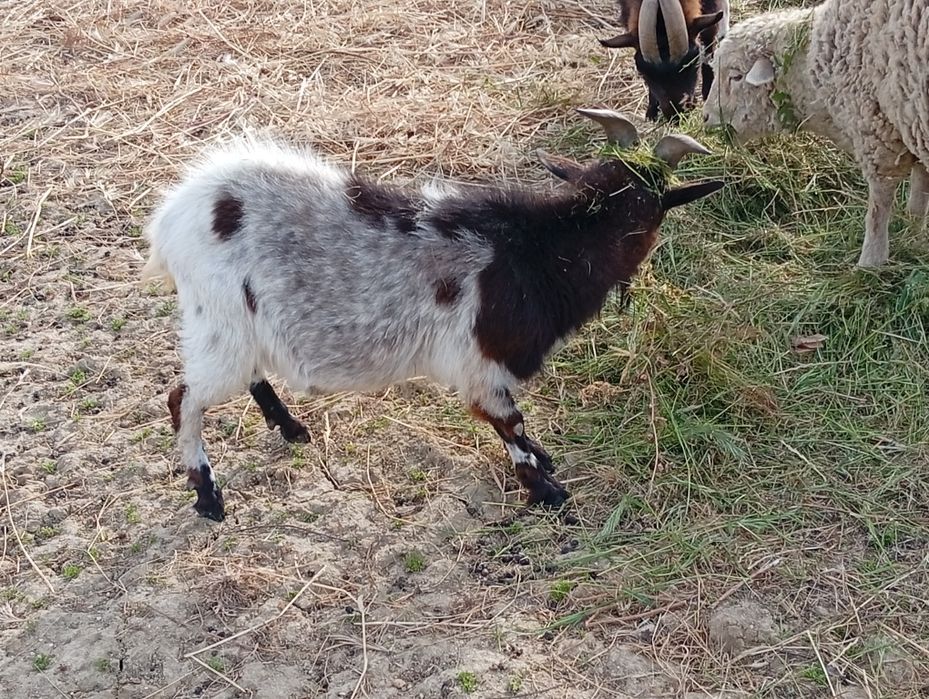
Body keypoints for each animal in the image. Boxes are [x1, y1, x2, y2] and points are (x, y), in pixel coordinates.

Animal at [142, 109, 724, 521]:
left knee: (244, 374)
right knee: (183, 397)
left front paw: (544, 468)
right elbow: (507, 422)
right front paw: (546, 491)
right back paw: (208, 497)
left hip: (238, 324)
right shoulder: (481, 362)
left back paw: (291, 428)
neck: (539, 252)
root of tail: (173, 218)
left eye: (650, 204)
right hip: (219, 320)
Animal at [600, 0, 729, 121]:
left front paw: (709, 97)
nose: (676, 115)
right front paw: (651, 112)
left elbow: (709, 36)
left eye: (694, 62)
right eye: (642, 71)